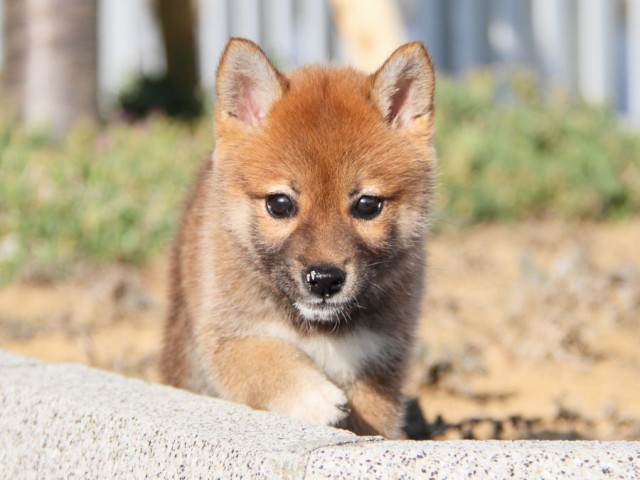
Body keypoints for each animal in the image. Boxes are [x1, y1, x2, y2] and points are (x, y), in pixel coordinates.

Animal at [160, 38, 436, 438]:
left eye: (367, 205)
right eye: (280, 204)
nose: (324, 279)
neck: (317, 331)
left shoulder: (376, 362)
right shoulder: (225, 337)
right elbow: (265, 357)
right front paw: (311, 396)